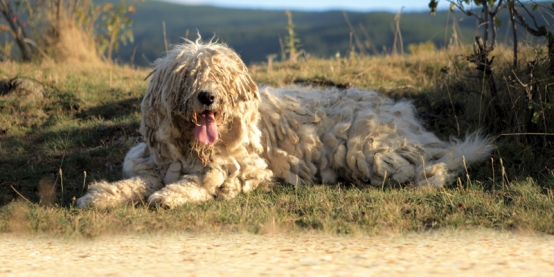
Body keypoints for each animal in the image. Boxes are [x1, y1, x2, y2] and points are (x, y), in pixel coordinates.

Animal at [74, 38, 492, 207]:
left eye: (220, 76)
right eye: (188, 76)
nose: (207, 97)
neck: (193, 148)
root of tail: (402, 116)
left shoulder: (245, 168)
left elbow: (204, 182)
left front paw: (170, 196)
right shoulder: (157, 164)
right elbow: (134, 182)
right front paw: (100, 195)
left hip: (371, 151)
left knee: (440, 162)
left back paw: (432, 175)